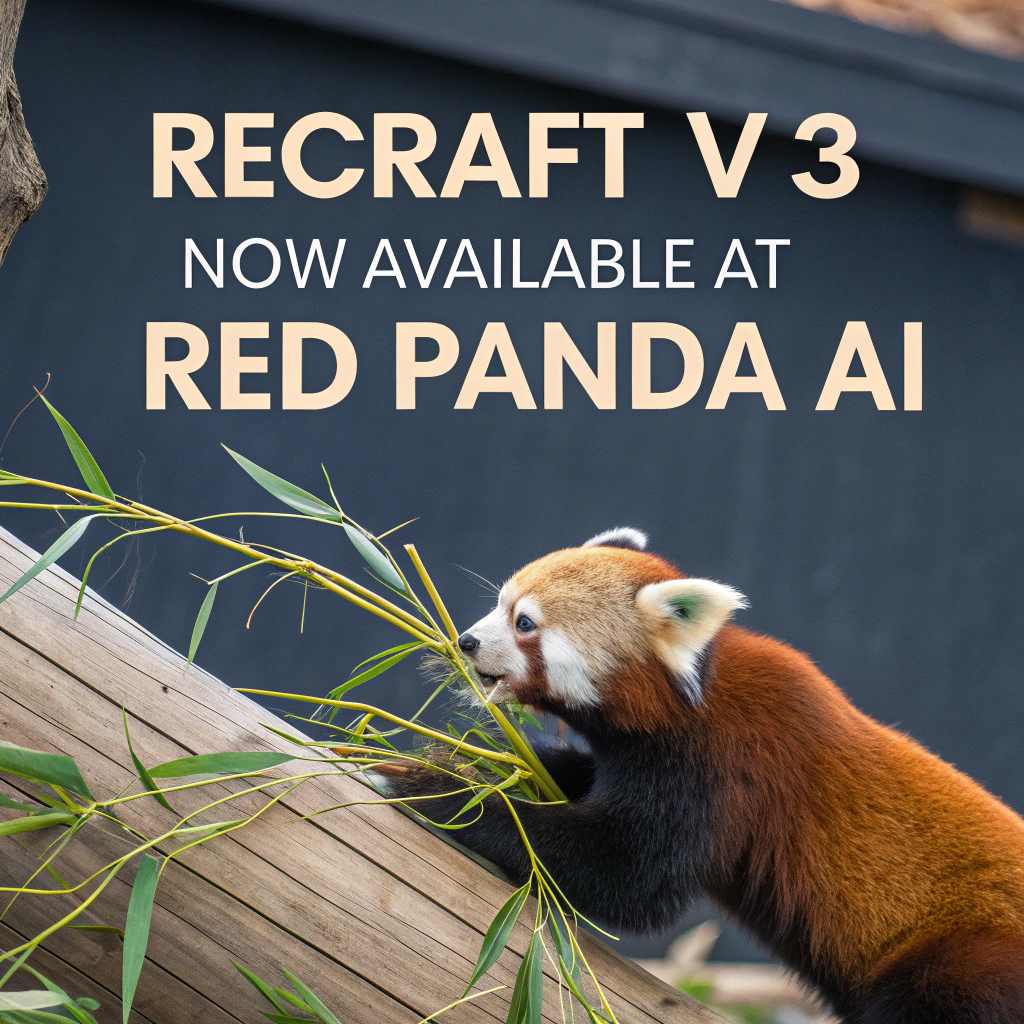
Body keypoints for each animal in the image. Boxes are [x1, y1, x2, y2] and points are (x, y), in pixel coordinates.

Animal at [381, 528, 1024, 1023]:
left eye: (524, 624)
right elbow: (571, 779)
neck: (687, 700)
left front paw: (443, 795)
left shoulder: (721, 772)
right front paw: (465, 763)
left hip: (963, 964)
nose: (466, 640)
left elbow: (631, 875)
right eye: (501, 604)